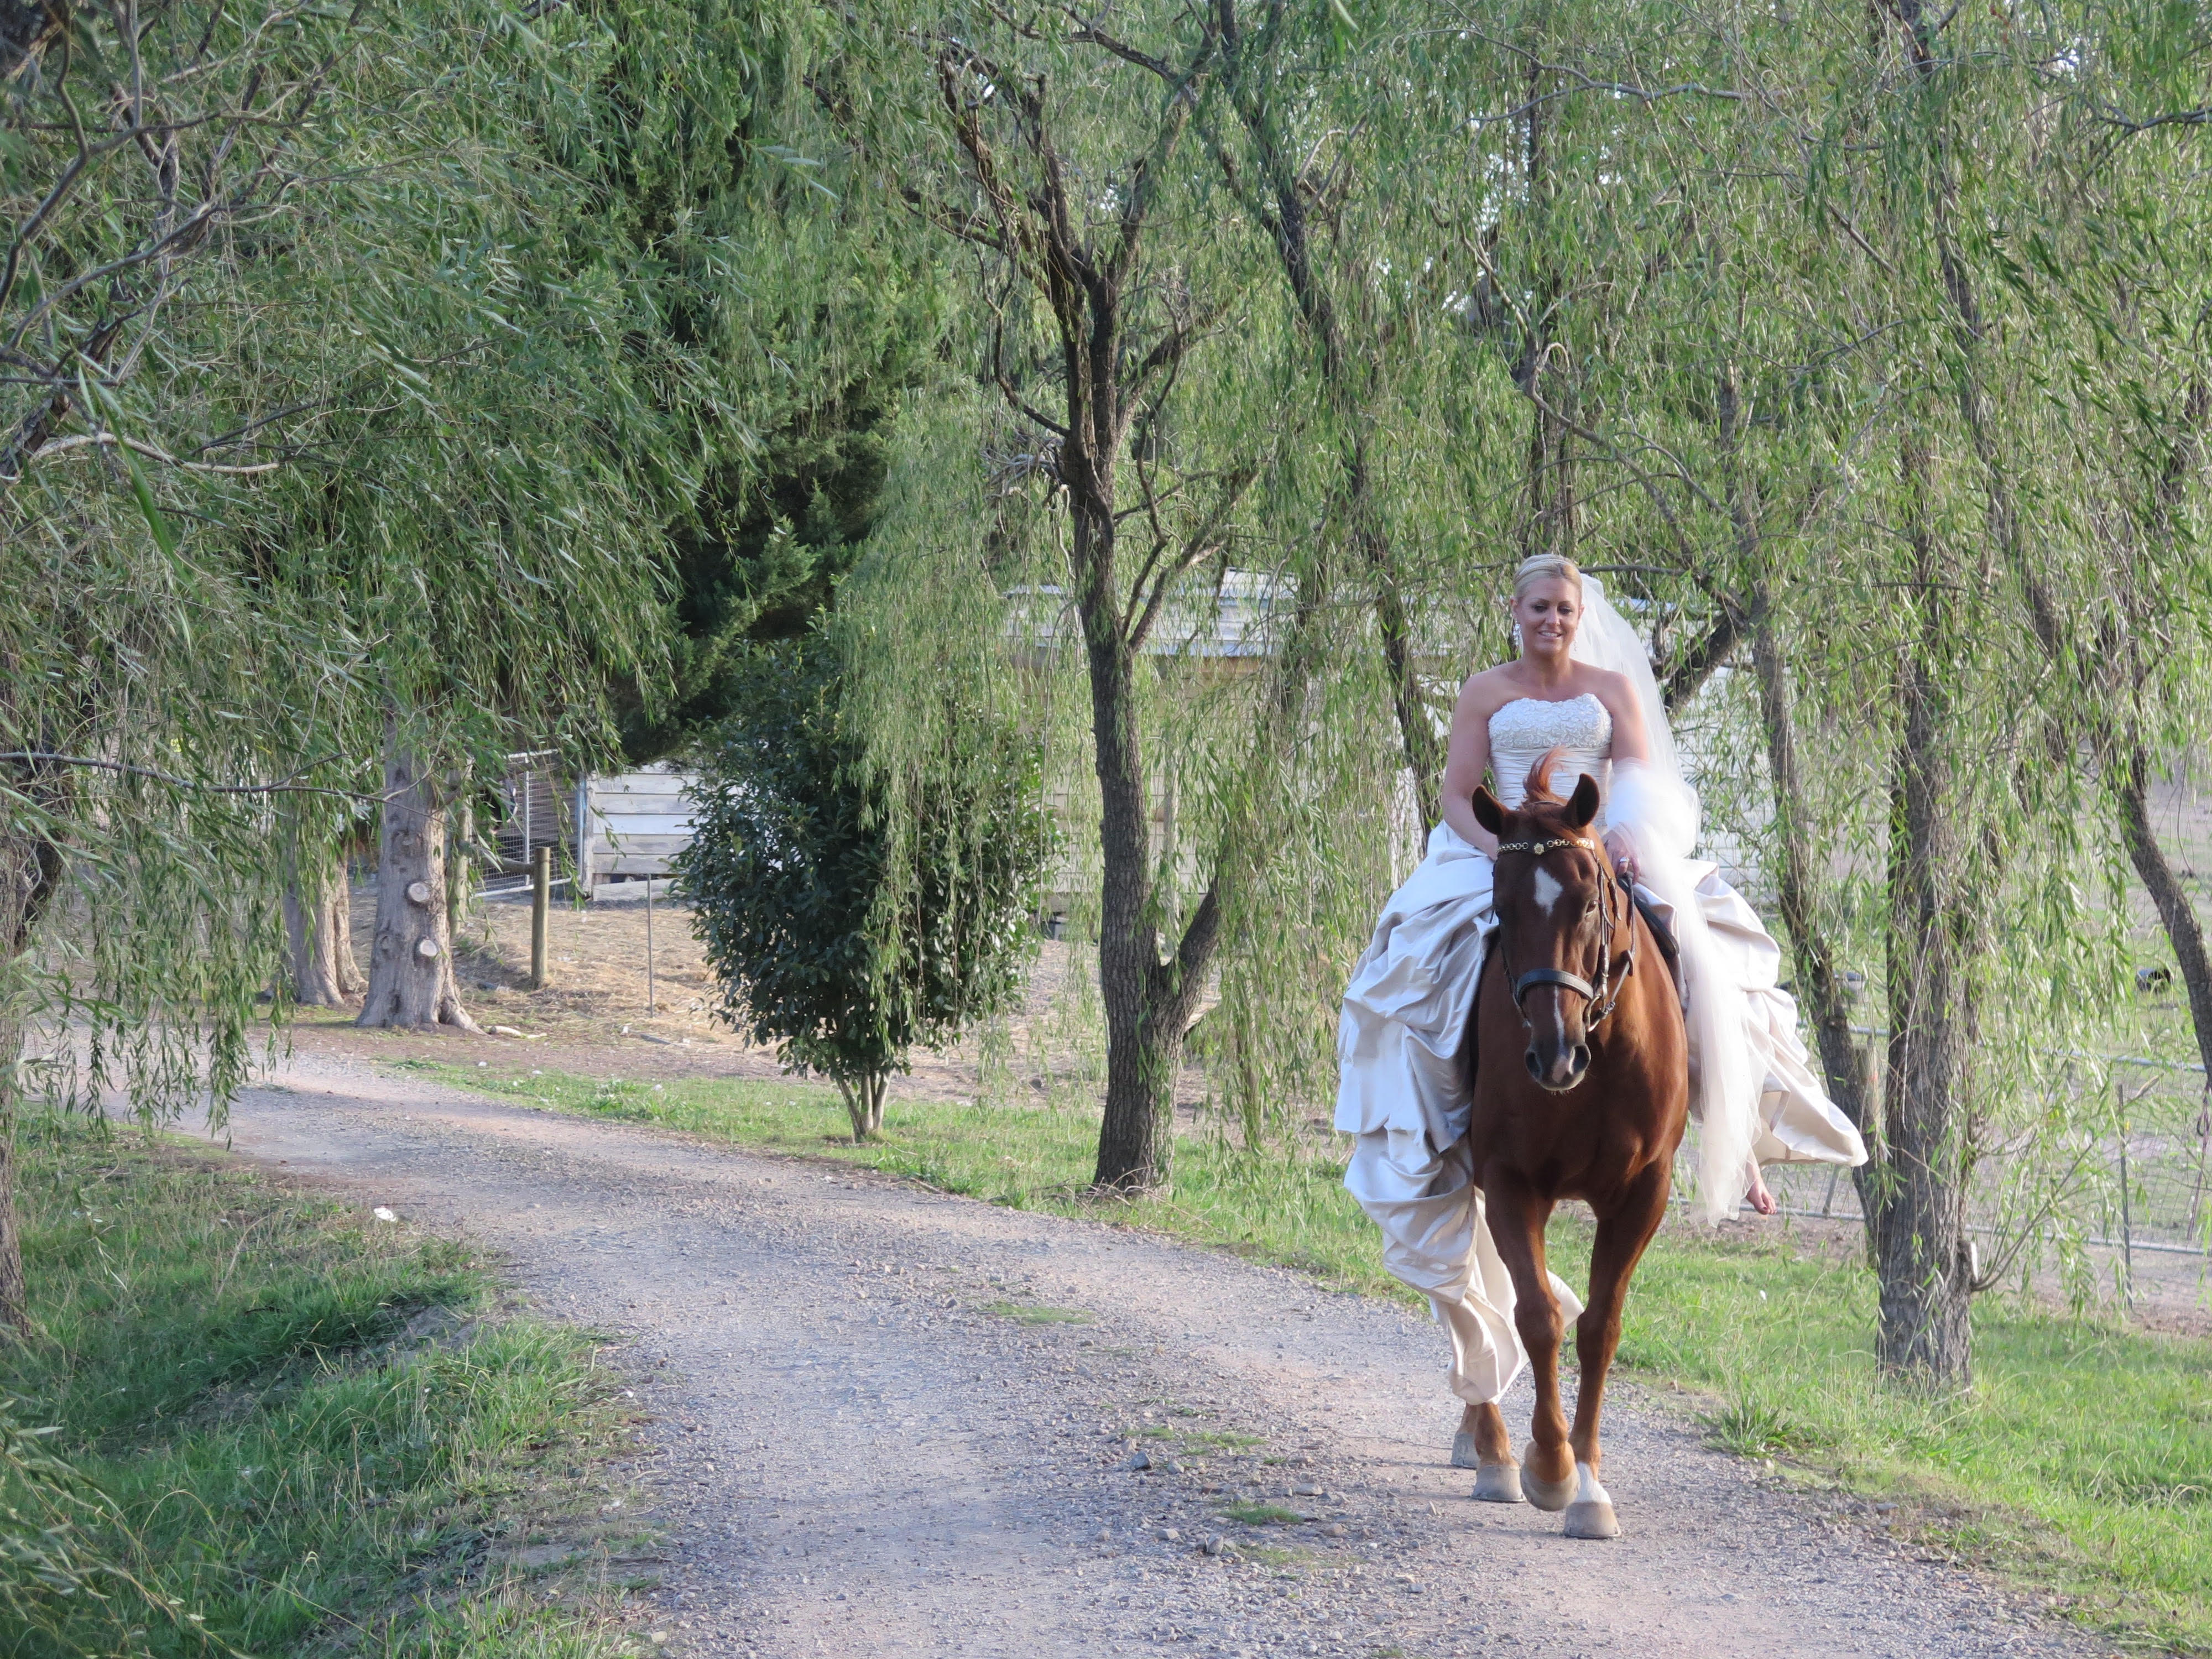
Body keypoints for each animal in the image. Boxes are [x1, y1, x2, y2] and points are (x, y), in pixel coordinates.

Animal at [1451, 761, 1690, 1540]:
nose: (1555, 1057)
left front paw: (1587, 1484)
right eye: (1500, 909)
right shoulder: (1509, 1179)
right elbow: (1536, 1316)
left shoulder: (1643, 1194)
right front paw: (1550, 1468)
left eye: (1588, 902)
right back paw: (1492, 1447)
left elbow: (1599, 1328)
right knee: (1464, 1291)